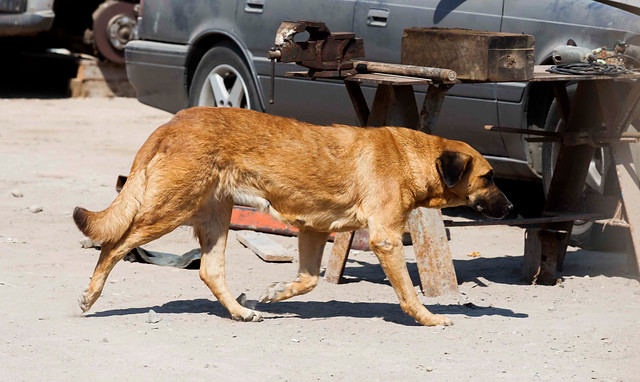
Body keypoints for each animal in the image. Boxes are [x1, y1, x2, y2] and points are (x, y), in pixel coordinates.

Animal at [75, 106, 512, 326]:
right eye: (489, 177)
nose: (511, 209)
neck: (413, 156)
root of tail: (173, 122)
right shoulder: (385, 238)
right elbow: (407, 290)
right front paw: (427, 317)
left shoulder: (314, 230)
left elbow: (307, 280)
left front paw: (275, 293)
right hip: (168, 210)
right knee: (113, 245)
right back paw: (91, 295)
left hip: (216, 215)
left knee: (209, 271)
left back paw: (242, 312)